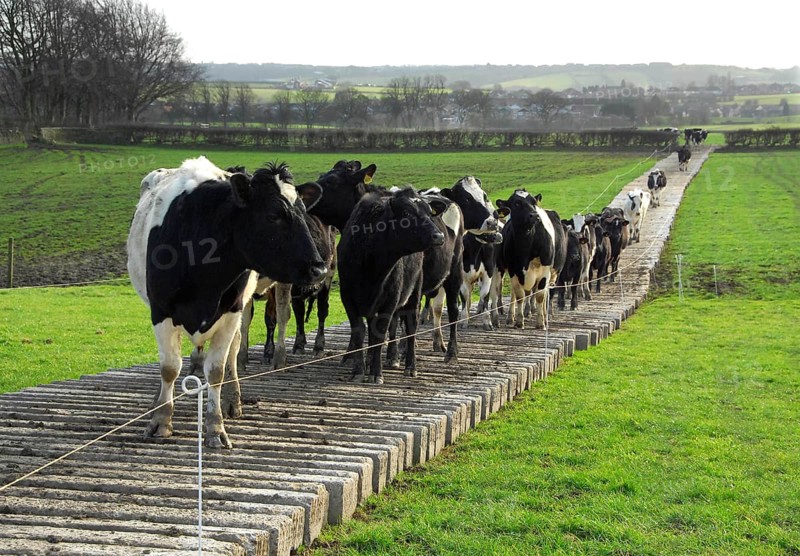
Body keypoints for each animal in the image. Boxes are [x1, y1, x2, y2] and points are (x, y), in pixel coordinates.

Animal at [127, 157, 326, 448]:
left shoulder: (231, 312)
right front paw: (161, 420)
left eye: (303, 213)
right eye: (274, 215)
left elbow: (216, 371)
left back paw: (232, 400)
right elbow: (169, 368)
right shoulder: (160, 311)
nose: (318, 269)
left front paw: (215, 427)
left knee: (233, 353)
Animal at [338, 187, 446, 384]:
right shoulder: (348, 298)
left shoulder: (390, 299)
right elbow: (360, 333)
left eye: (429, 212)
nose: (438, 236)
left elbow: (381, 333)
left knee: (410, 327)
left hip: (414, 294)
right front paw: (358, 370)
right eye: (406, 213)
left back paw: (410, 367)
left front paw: (375, 373)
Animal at [495, 190, 562, 329]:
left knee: (545, 294)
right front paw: (519, 321)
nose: (535, 216)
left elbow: (540, 296)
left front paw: (540, 323)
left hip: (552, 274)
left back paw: (545, 318)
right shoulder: (514, 269)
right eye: (516, 203)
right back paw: (510, 317)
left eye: (534, 202)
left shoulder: (545, 269)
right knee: (515, 294)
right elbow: (519, 295)